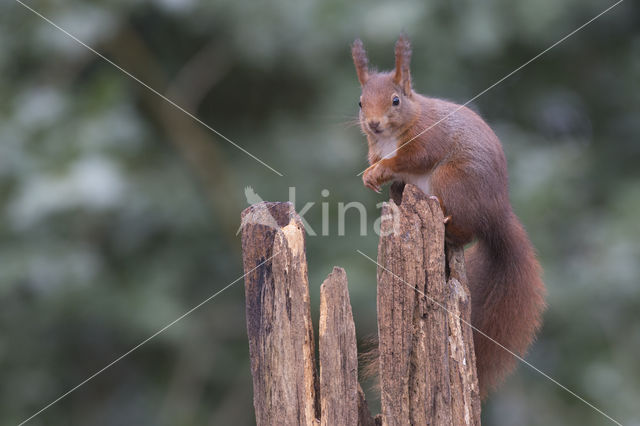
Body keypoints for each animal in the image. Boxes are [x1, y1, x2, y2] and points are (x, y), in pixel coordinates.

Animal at [356, 35, 544, 400]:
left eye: (396, 100)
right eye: (360, 102)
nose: (373, 124)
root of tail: (497, 213)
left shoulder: (428, 137)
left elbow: (413, 157)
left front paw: (380, 169)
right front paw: (371, 174)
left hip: (452, 181)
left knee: (465, 230)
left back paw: (447, 225)